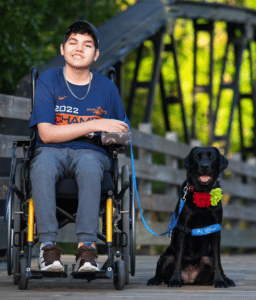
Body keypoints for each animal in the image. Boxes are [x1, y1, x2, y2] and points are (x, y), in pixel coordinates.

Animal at [147, 148, 235, 288]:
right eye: (197, 158)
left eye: (212, 157)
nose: (204, 166)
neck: (203, 192)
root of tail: (190, 278)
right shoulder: (183, 229)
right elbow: (178, 260)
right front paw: (175, 280)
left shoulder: (216, 230)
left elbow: (218, 261)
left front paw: (220, 280)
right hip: (166, 257)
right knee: (165, 265)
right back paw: (155, 279)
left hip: (207, 257)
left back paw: (226, 279)